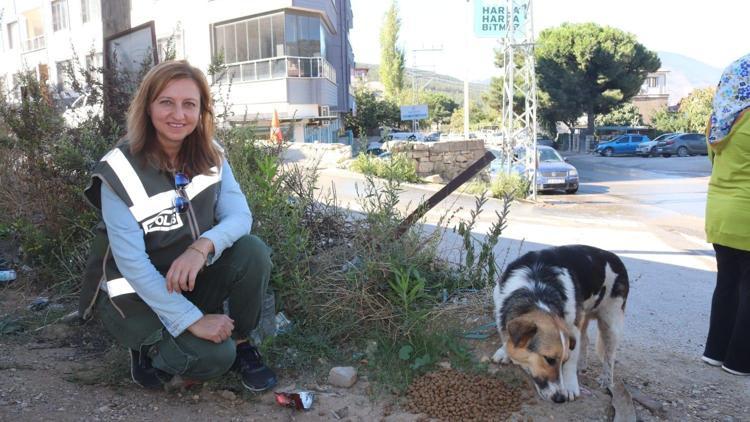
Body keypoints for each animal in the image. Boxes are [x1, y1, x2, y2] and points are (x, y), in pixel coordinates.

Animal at [494, 246, 628, 404]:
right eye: (549, 360)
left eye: (563, 361)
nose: (560, 398)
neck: (536, 290)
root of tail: (614, 256)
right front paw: (504, 351)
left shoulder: (572, 329)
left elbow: (572, 359)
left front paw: (570, 386)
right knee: (585, 340)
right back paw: (582, 366)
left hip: (611, 324)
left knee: (609, 357)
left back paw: (607, 381)